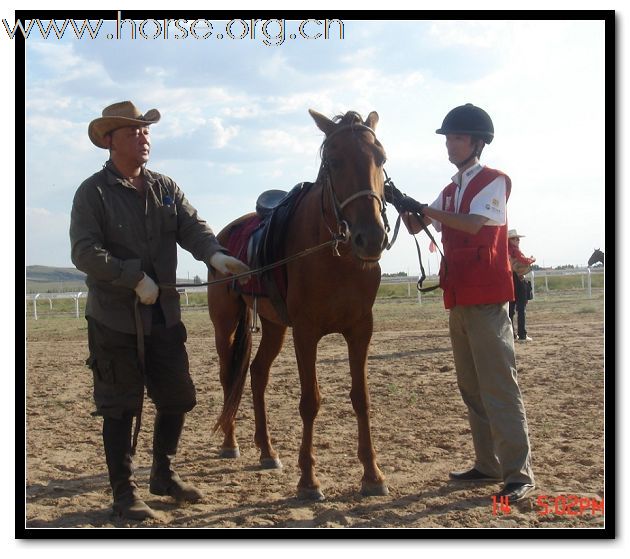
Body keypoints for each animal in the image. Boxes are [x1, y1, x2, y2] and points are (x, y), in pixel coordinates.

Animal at [209, 108, 390, 498]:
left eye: (380, 159)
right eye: (334, 161)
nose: (371, 237)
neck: (336, 256)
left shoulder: (360, 330)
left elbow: (361, 398)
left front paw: (372, 474)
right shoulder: (306, 333)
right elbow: (310, 402)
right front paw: (308, 480)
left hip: (274, 326)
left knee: (257, 374)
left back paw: (267, 450)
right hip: (224, 323)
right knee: (228, 376)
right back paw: (231, 443)